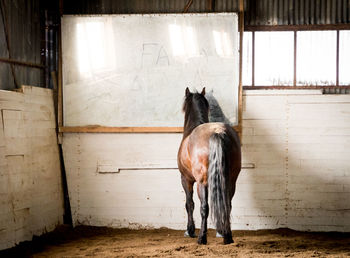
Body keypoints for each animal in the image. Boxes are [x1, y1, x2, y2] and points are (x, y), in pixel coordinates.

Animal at [178, 87, 241, 245]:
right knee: (227, 205)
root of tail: (217, 131)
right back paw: (227, 236)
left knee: (204, 207)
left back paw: (202, 238)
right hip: (231, 181)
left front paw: (190, 230)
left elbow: (189, 204)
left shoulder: (185, 179)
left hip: (202, 183)